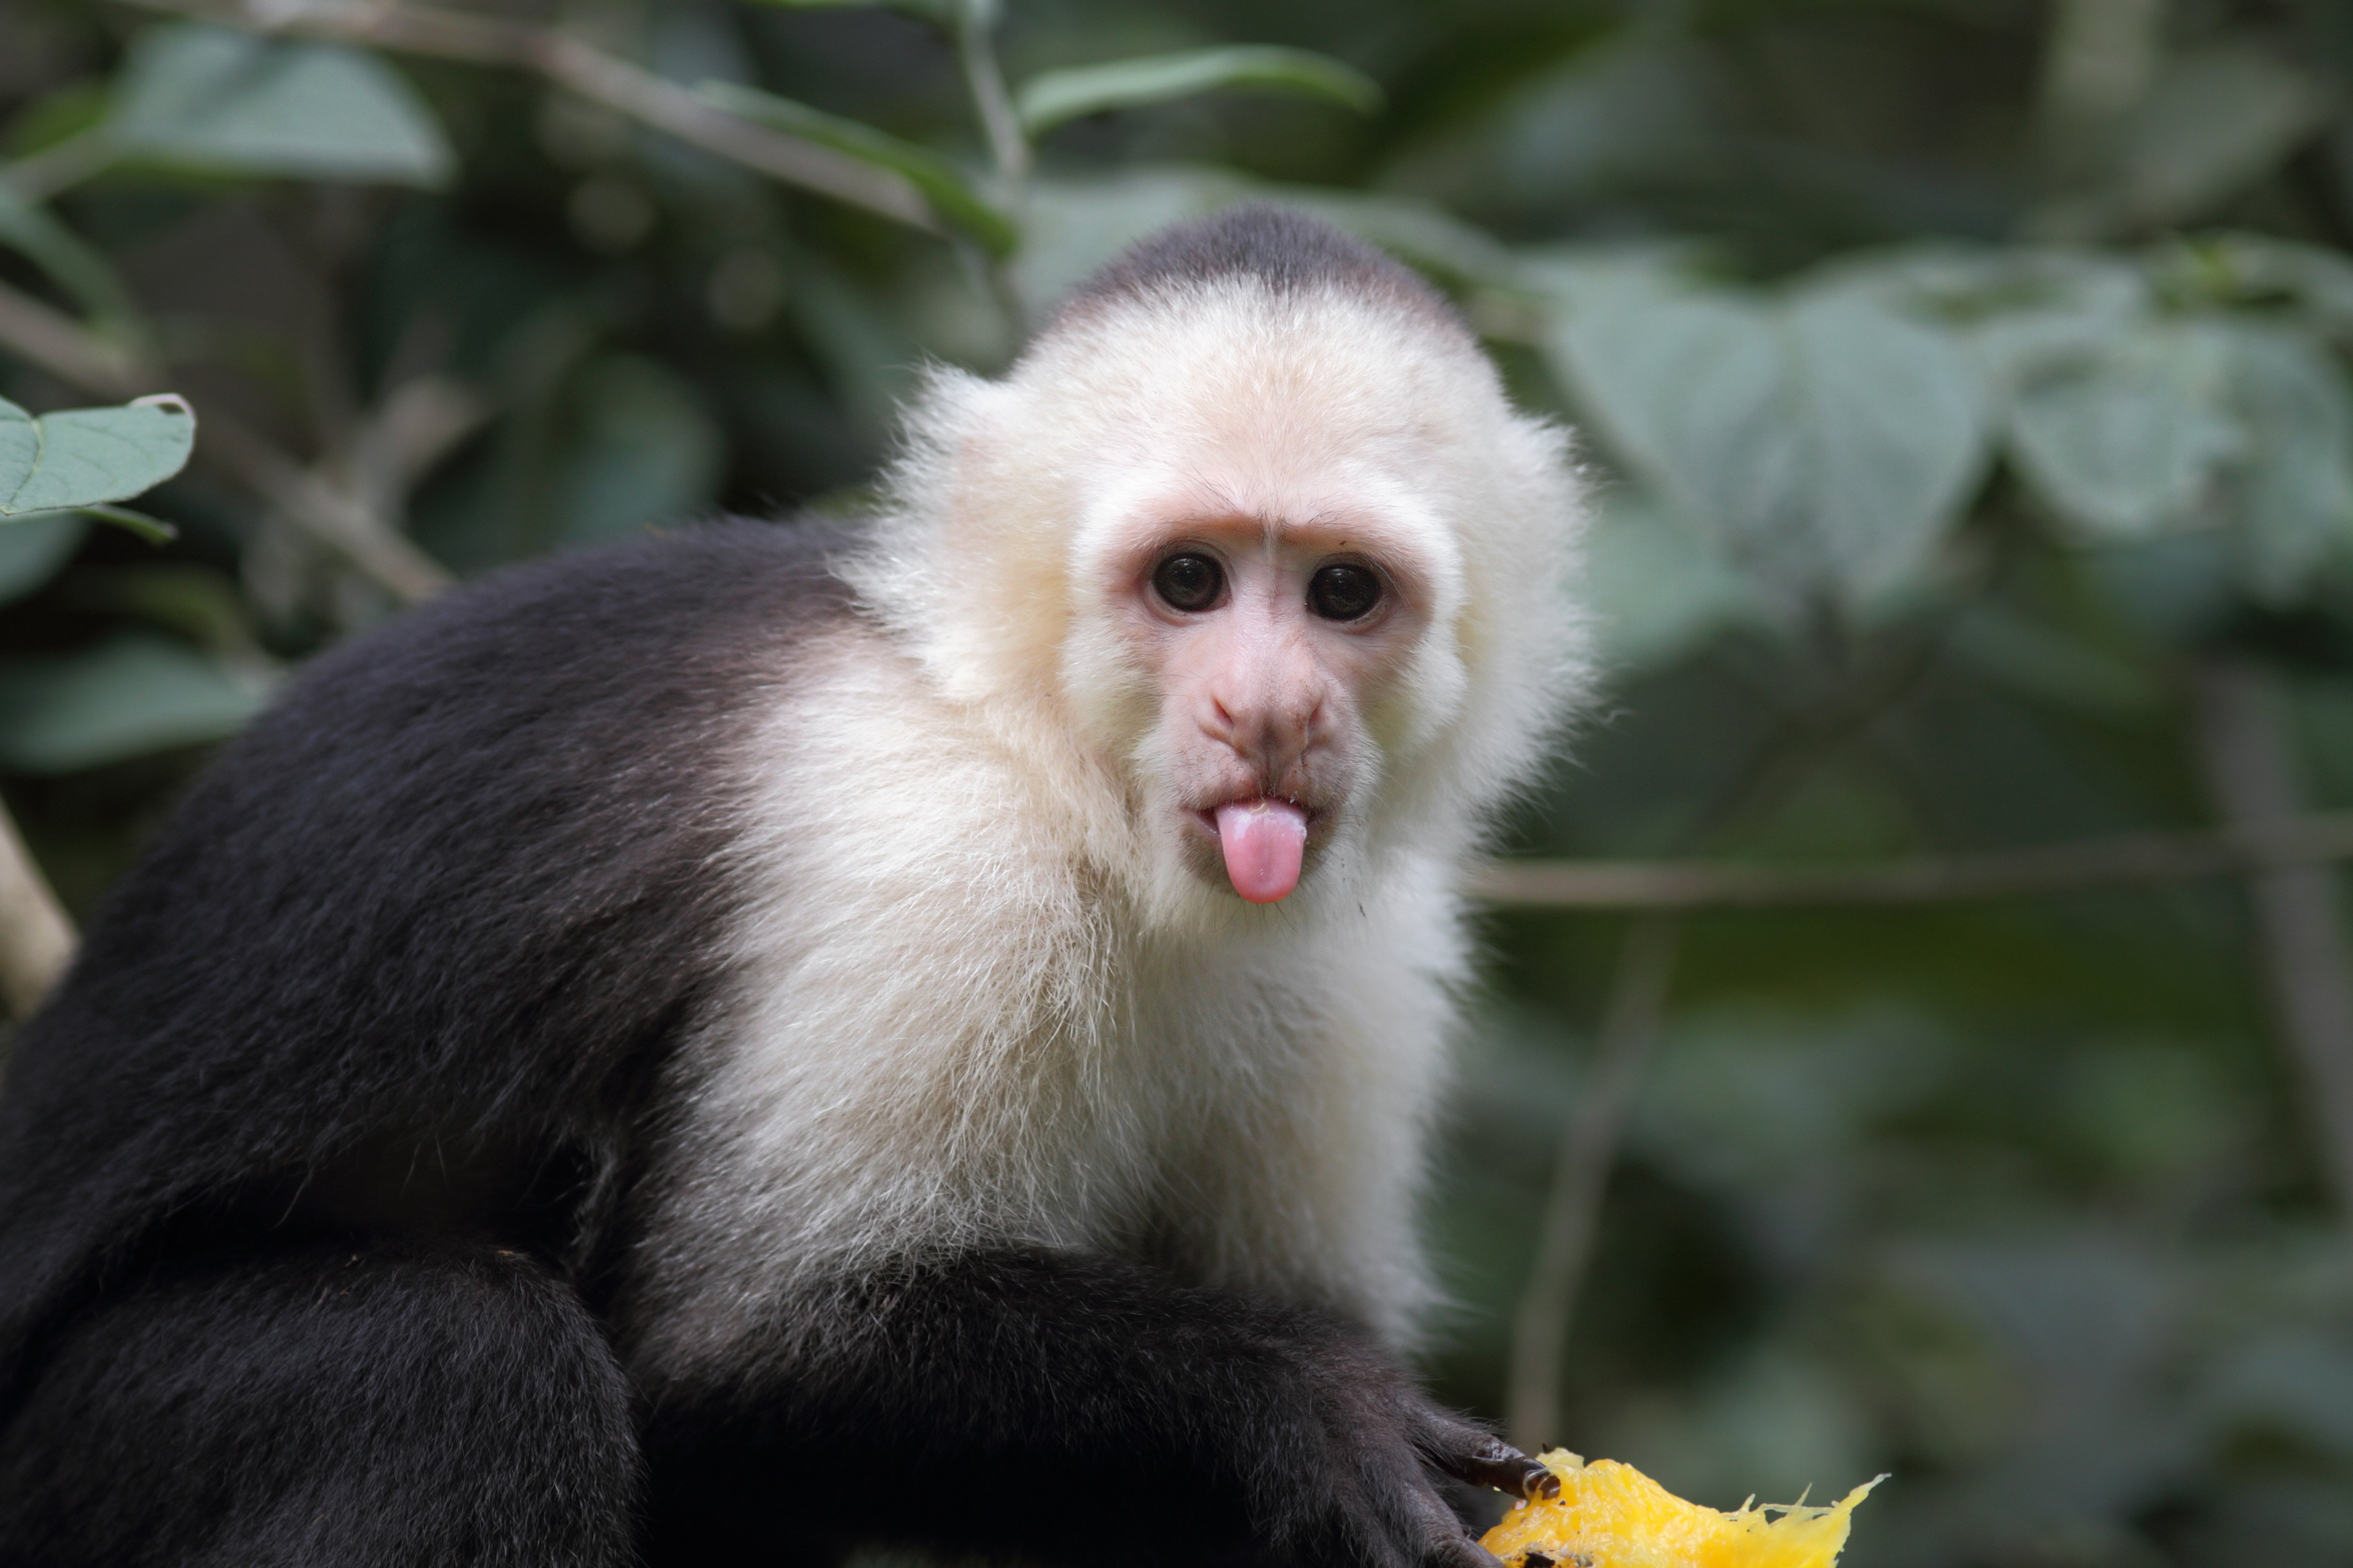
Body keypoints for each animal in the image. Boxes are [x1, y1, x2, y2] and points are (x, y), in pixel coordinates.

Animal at [0, 208, 1591, 1568]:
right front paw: (1301, 1393)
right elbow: (732, 1346)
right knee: (458, 1366)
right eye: (1189, 581)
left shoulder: (1368, 961)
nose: (1263, 713)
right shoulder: (929, 854)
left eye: (1341, 593)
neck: (1061, 780)